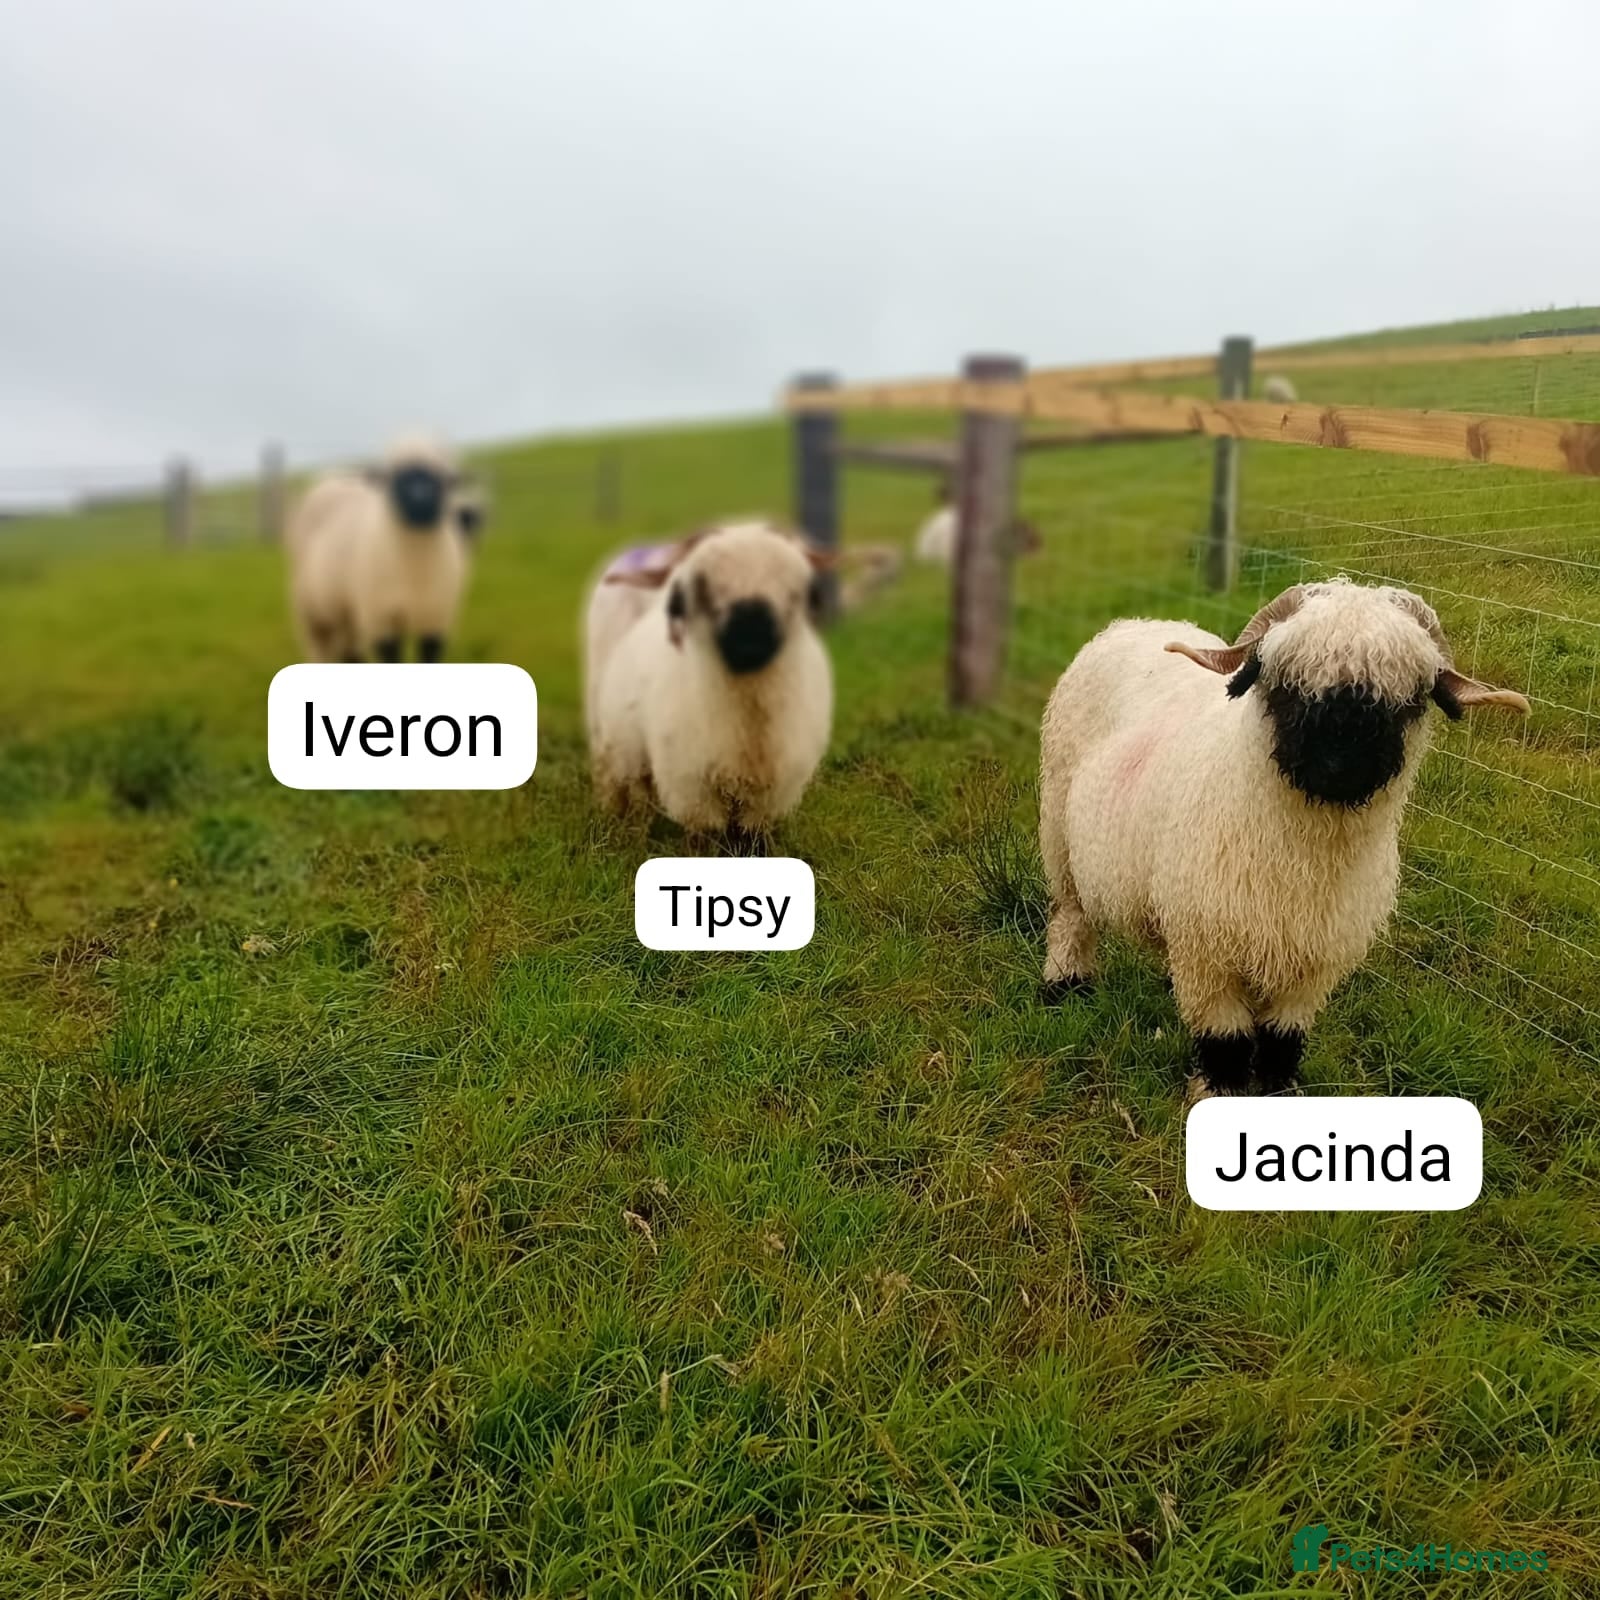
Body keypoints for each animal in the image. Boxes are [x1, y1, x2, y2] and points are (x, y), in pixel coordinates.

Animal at [287, 435, 469, 662]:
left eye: (441, 478)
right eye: (396, 477)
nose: (421, 502)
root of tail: (333, 475)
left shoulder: (436, 620)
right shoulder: (381, 620)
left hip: (348, 616)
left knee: (350, 655)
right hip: (314, 615)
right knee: (320, 652)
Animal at [588, 520, 833, 835]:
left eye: (795, 592)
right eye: (705, 587)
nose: (750, 640)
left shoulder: (770, 795)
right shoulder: (691, 788)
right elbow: (706, 838)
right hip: (611, 735)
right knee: (619, 783)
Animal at [1038, 579, 1529, 1094]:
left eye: (1410, 697)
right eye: (1287, 682)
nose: (1340, 762)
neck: (1304, 857)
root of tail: (1134, 623)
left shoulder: (1311, 966)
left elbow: (1281, 1040)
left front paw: (1277, 1091)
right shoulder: (1210, 956)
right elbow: (1226, 1044)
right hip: (1059, 830)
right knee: (1069, 916)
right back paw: (1065, 986)